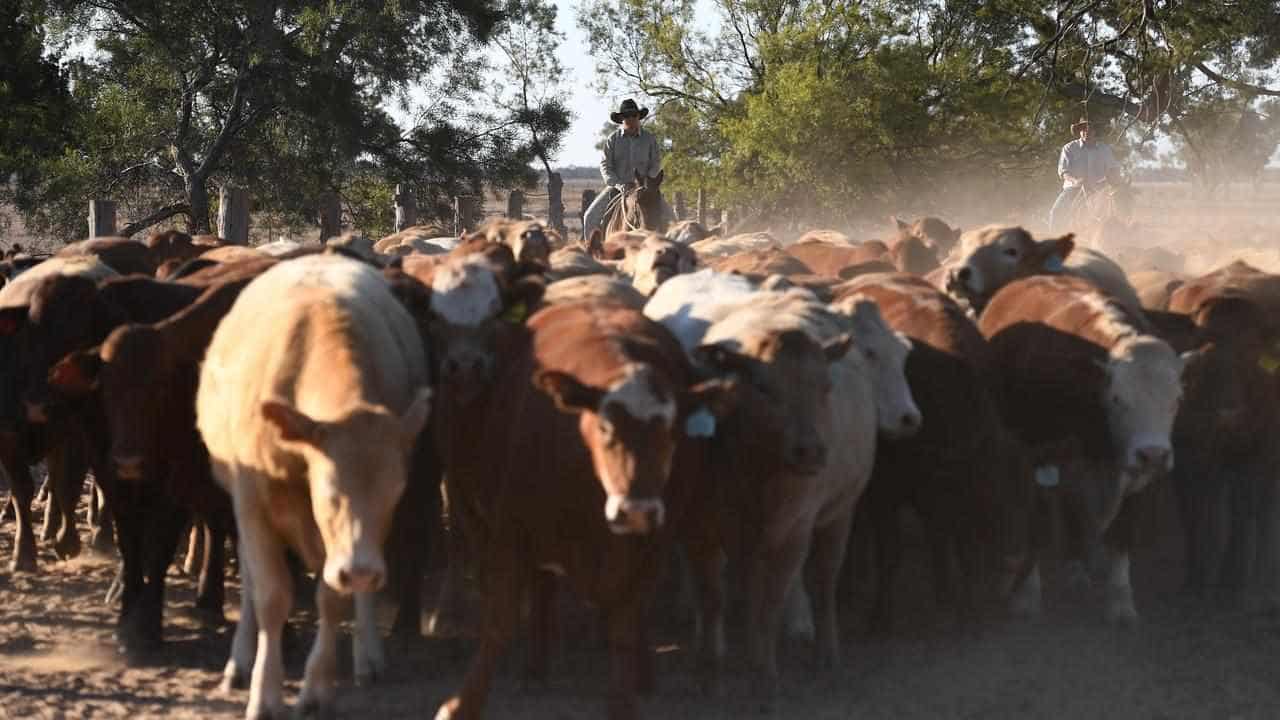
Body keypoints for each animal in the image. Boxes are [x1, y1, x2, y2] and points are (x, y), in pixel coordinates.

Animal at [197, 254, 432, 712]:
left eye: (395, 494)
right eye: (330, 492)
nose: (361, 570)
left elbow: (332, 598)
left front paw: (315, 687)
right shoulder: (252, 503)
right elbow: (270, 596)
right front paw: (265, 694)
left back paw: (367, 654)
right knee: (250, 577)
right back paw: (240, 660)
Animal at [435, 294, 737, 712]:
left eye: (671, 434)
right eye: (605, 427)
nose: (636, 511)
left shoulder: (649, 551)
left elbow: (625, 626)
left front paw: (624, 700)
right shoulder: (511, 530)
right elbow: (500, 622)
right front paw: (461, 703)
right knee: (542, 590)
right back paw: (537, 668)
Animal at [972, 274, 1182, 622]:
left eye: (1177, 400)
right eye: (1117, 399)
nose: (1154, 454)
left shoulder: (1132, 470)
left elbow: (1122, 532)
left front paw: (1121, 602)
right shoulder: (1037, 457)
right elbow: (1038, 521)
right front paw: (1027, 596)